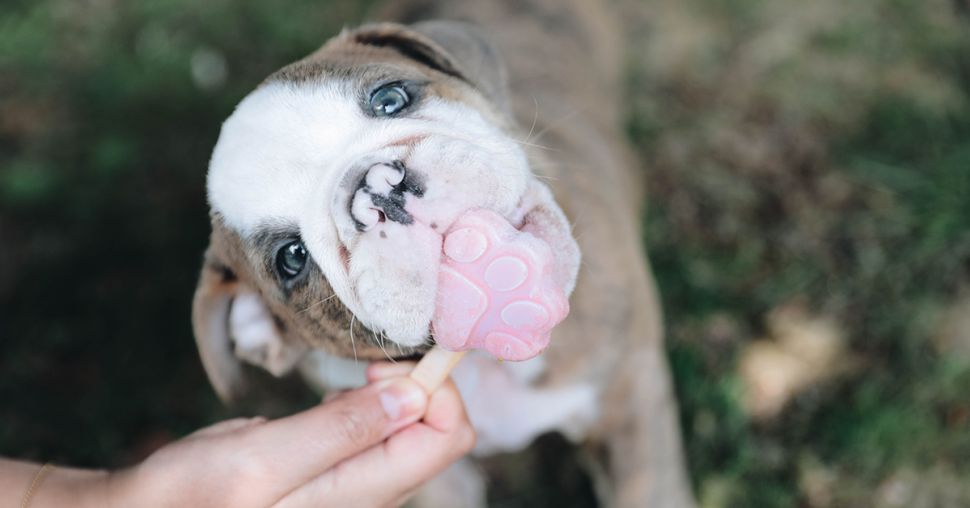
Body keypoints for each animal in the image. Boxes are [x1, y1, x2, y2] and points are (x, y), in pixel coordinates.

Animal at [193, 1, 696, 506]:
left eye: (390, 99)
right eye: (293, 258)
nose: (377, 189)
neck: (484, 364)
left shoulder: (629, 398)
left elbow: (650, 490)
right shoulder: (439, 481)